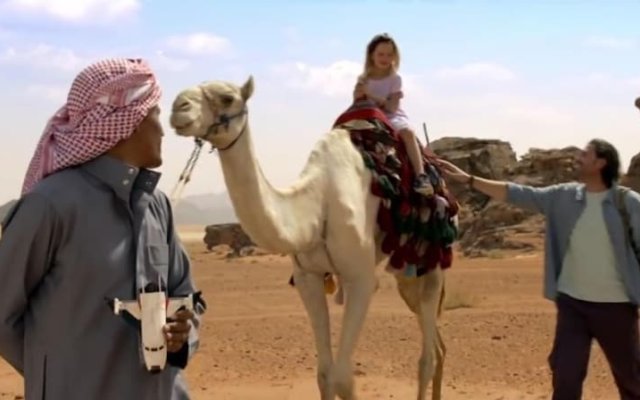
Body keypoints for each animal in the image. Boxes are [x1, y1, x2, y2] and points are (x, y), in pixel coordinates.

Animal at [168, 76, 452, 400]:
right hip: (406, 271)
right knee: (437, 346)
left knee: (426, 357)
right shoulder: (308, 277)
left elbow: (343, 378)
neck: (318, 203)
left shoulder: (361, 278)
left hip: (432, 262)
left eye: (227, 97)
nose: (178, 107)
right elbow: (324, 375)